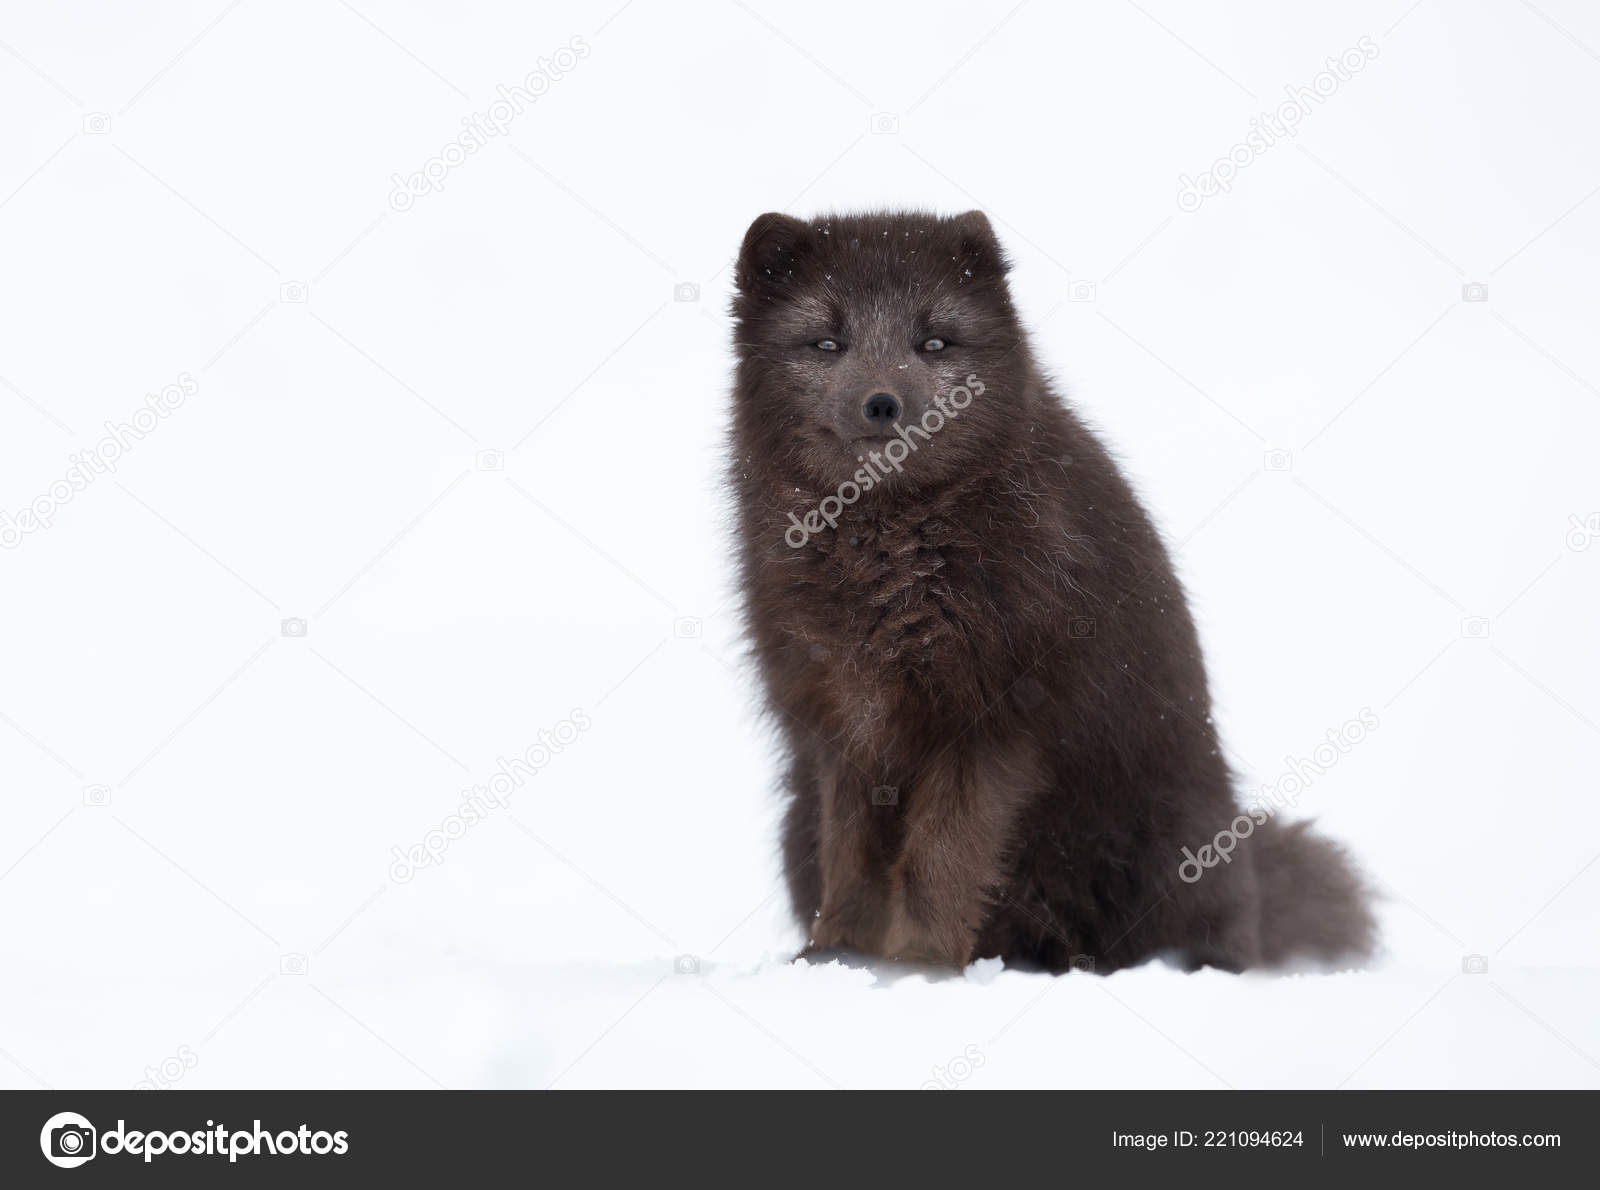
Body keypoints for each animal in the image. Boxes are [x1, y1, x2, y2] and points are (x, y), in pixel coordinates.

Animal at [728, 209, 1375, 973]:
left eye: (934, 341)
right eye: (827, 342)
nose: (883, 404)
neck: (885, 564)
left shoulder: (994, 721)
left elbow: (937, 861)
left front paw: (918, 966)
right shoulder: (842, 728)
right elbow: (853, 861)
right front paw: (841, 958)